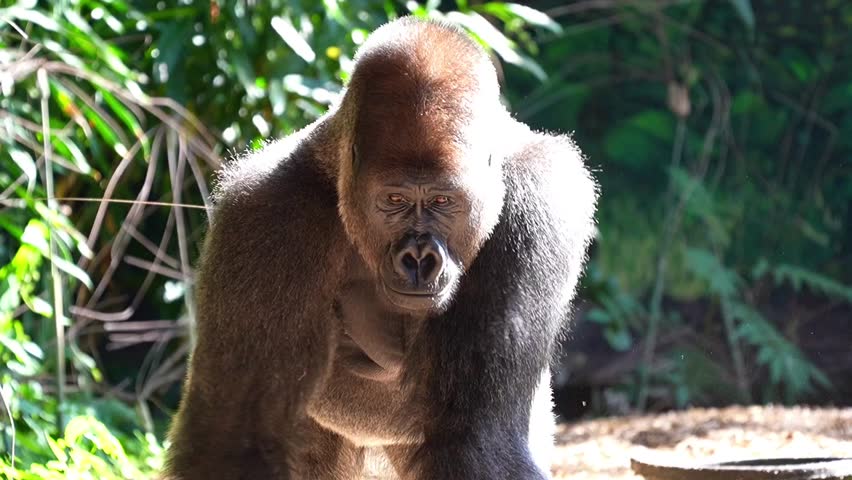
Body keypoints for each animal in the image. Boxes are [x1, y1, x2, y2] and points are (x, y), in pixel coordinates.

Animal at [163, 16, 598, 480]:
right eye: (394, 200)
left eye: (443, 201)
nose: (419, 260)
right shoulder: (264, 213)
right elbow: (239, 434)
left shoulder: (541, 198)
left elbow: (475, 435)